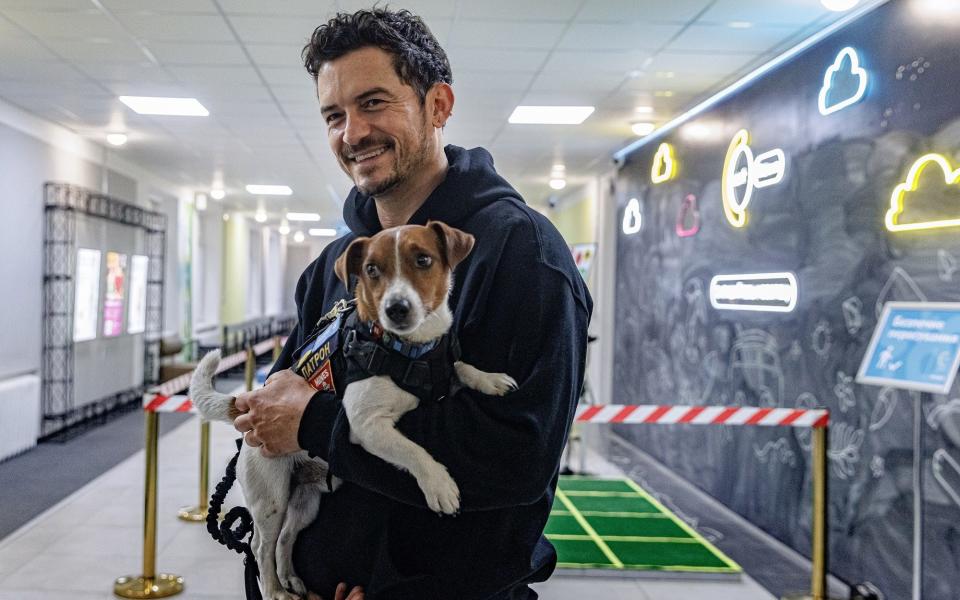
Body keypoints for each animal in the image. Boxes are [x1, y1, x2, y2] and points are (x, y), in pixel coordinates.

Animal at [189, 221, 516, 600]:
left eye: (423, 260)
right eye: (372, 270)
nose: (396, 308)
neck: (410, 351)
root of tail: (245, 403)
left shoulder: (441, 371)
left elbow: (460, 367)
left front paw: (489, 379)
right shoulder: (365, 424)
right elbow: (414, 451)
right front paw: (439, 484)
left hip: (307, 502)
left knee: (286, 538)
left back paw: (291, 579)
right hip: (271, 498)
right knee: (260, 546)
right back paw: (274, 590)